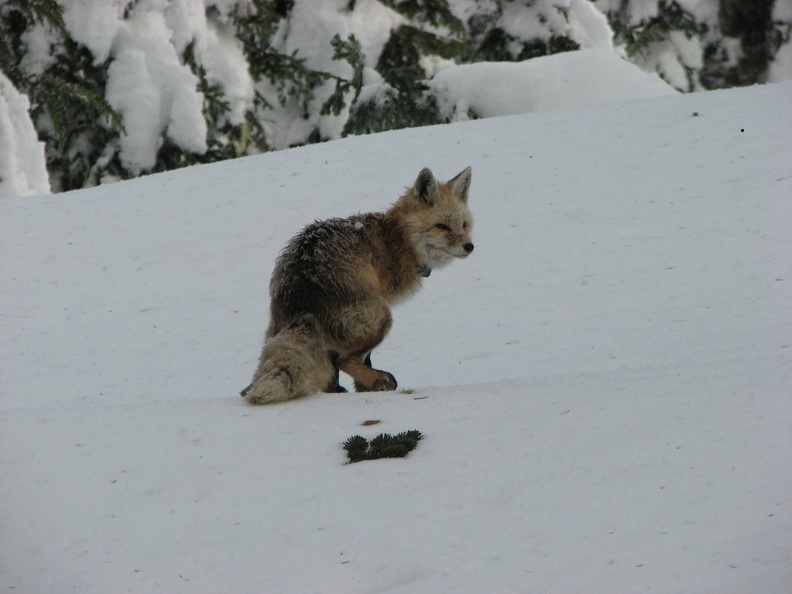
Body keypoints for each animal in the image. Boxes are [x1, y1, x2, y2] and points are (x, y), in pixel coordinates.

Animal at [241, 165, 474, 402]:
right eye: (441, 226)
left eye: (464, 225)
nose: (469, 246)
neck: (398, 239)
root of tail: (299, 289)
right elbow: (363, 359)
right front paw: (366, 389)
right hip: (380, 317)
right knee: (344, 360)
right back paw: (379, 380)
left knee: (331, 366)